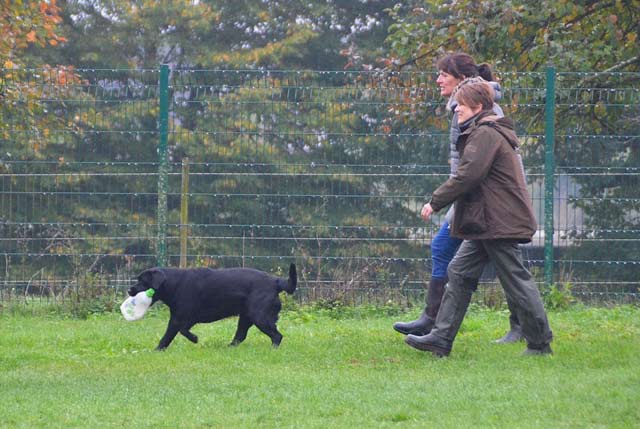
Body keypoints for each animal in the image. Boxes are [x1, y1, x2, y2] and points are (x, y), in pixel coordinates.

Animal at [128, 263, 297, 350]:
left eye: (142, 281)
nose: (130, 290)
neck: (173, 283)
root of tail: (275, 281)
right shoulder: (186, 318)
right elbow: (183, 330)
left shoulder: (178, 318)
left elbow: (170, 335)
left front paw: (158, 349)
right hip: (246, 317)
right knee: (240, 335)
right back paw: (229, 347)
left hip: (259, 316)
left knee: (277, 335)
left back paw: (273, 349)